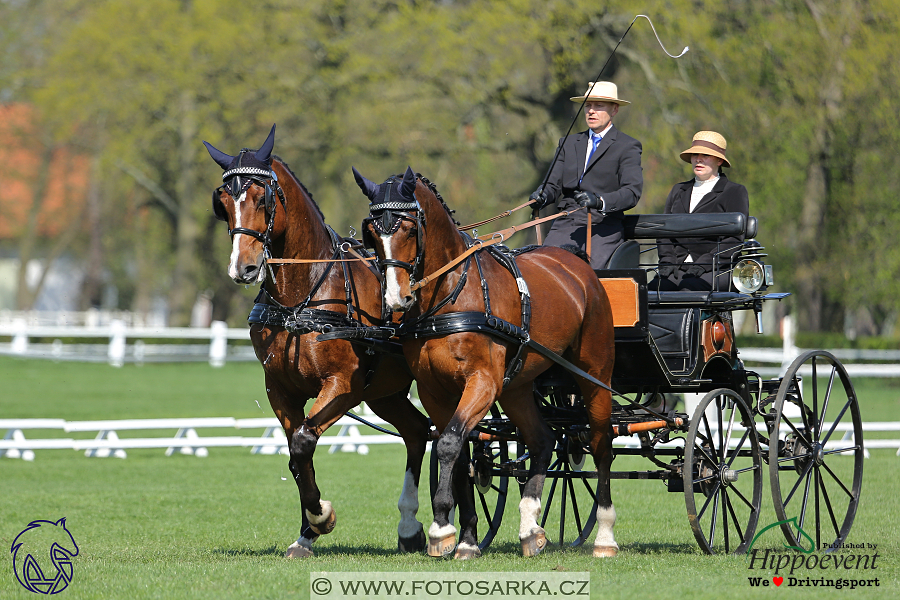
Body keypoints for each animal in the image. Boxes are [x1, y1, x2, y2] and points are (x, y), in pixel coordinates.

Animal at [204, 126, 428, 556]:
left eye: (261, 197)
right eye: (222, 202)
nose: (243, 268)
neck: (302, 297)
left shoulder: (343, 386)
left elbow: (304, 440)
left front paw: (322, 517)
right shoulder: (280, 388)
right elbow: (295, 455)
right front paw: (307, 530)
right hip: (386, 393)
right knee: (418, 431)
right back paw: (411, 528)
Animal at [356, 166, 624, 560]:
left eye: (408, 228)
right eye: (372, 233)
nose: (395, 299)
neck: (450, 293)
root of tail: (579, 265)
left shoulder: (482, 381)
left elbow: (450, 444)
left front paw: (441, 529)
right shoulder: (435, 391)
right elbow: (459, 453)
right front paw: (466, 538)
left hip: (594, 375)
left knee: (603, 444)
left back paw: (605, 535)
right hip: (517, 387)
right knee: (543, 439)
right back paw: (530, 527)